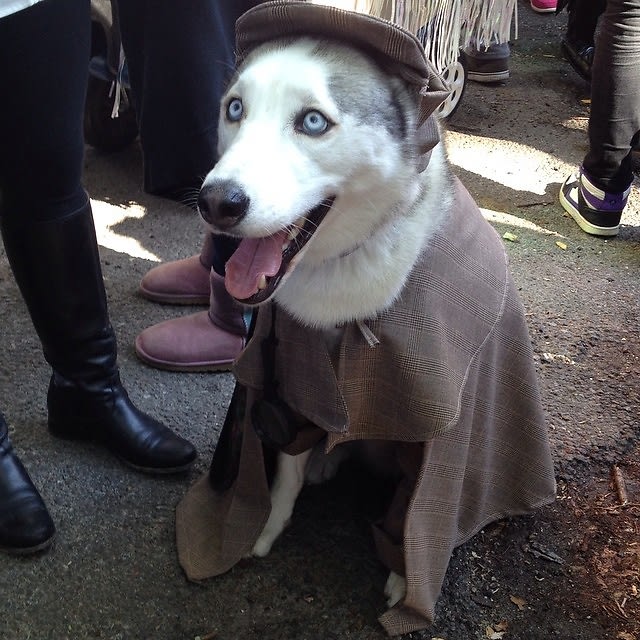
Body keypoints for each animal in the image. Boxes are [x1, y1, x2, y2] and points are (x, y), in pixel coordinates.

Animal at [184, 3, 556, 636]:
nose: (218, 202)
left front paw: (406, 578)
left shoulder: (433, 423)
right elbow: (285, 471)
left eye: (312, 121)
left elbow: (414, 511)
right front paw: (264, 528)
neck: (345, 281)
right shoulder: (294, 386)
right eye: (235, 108)